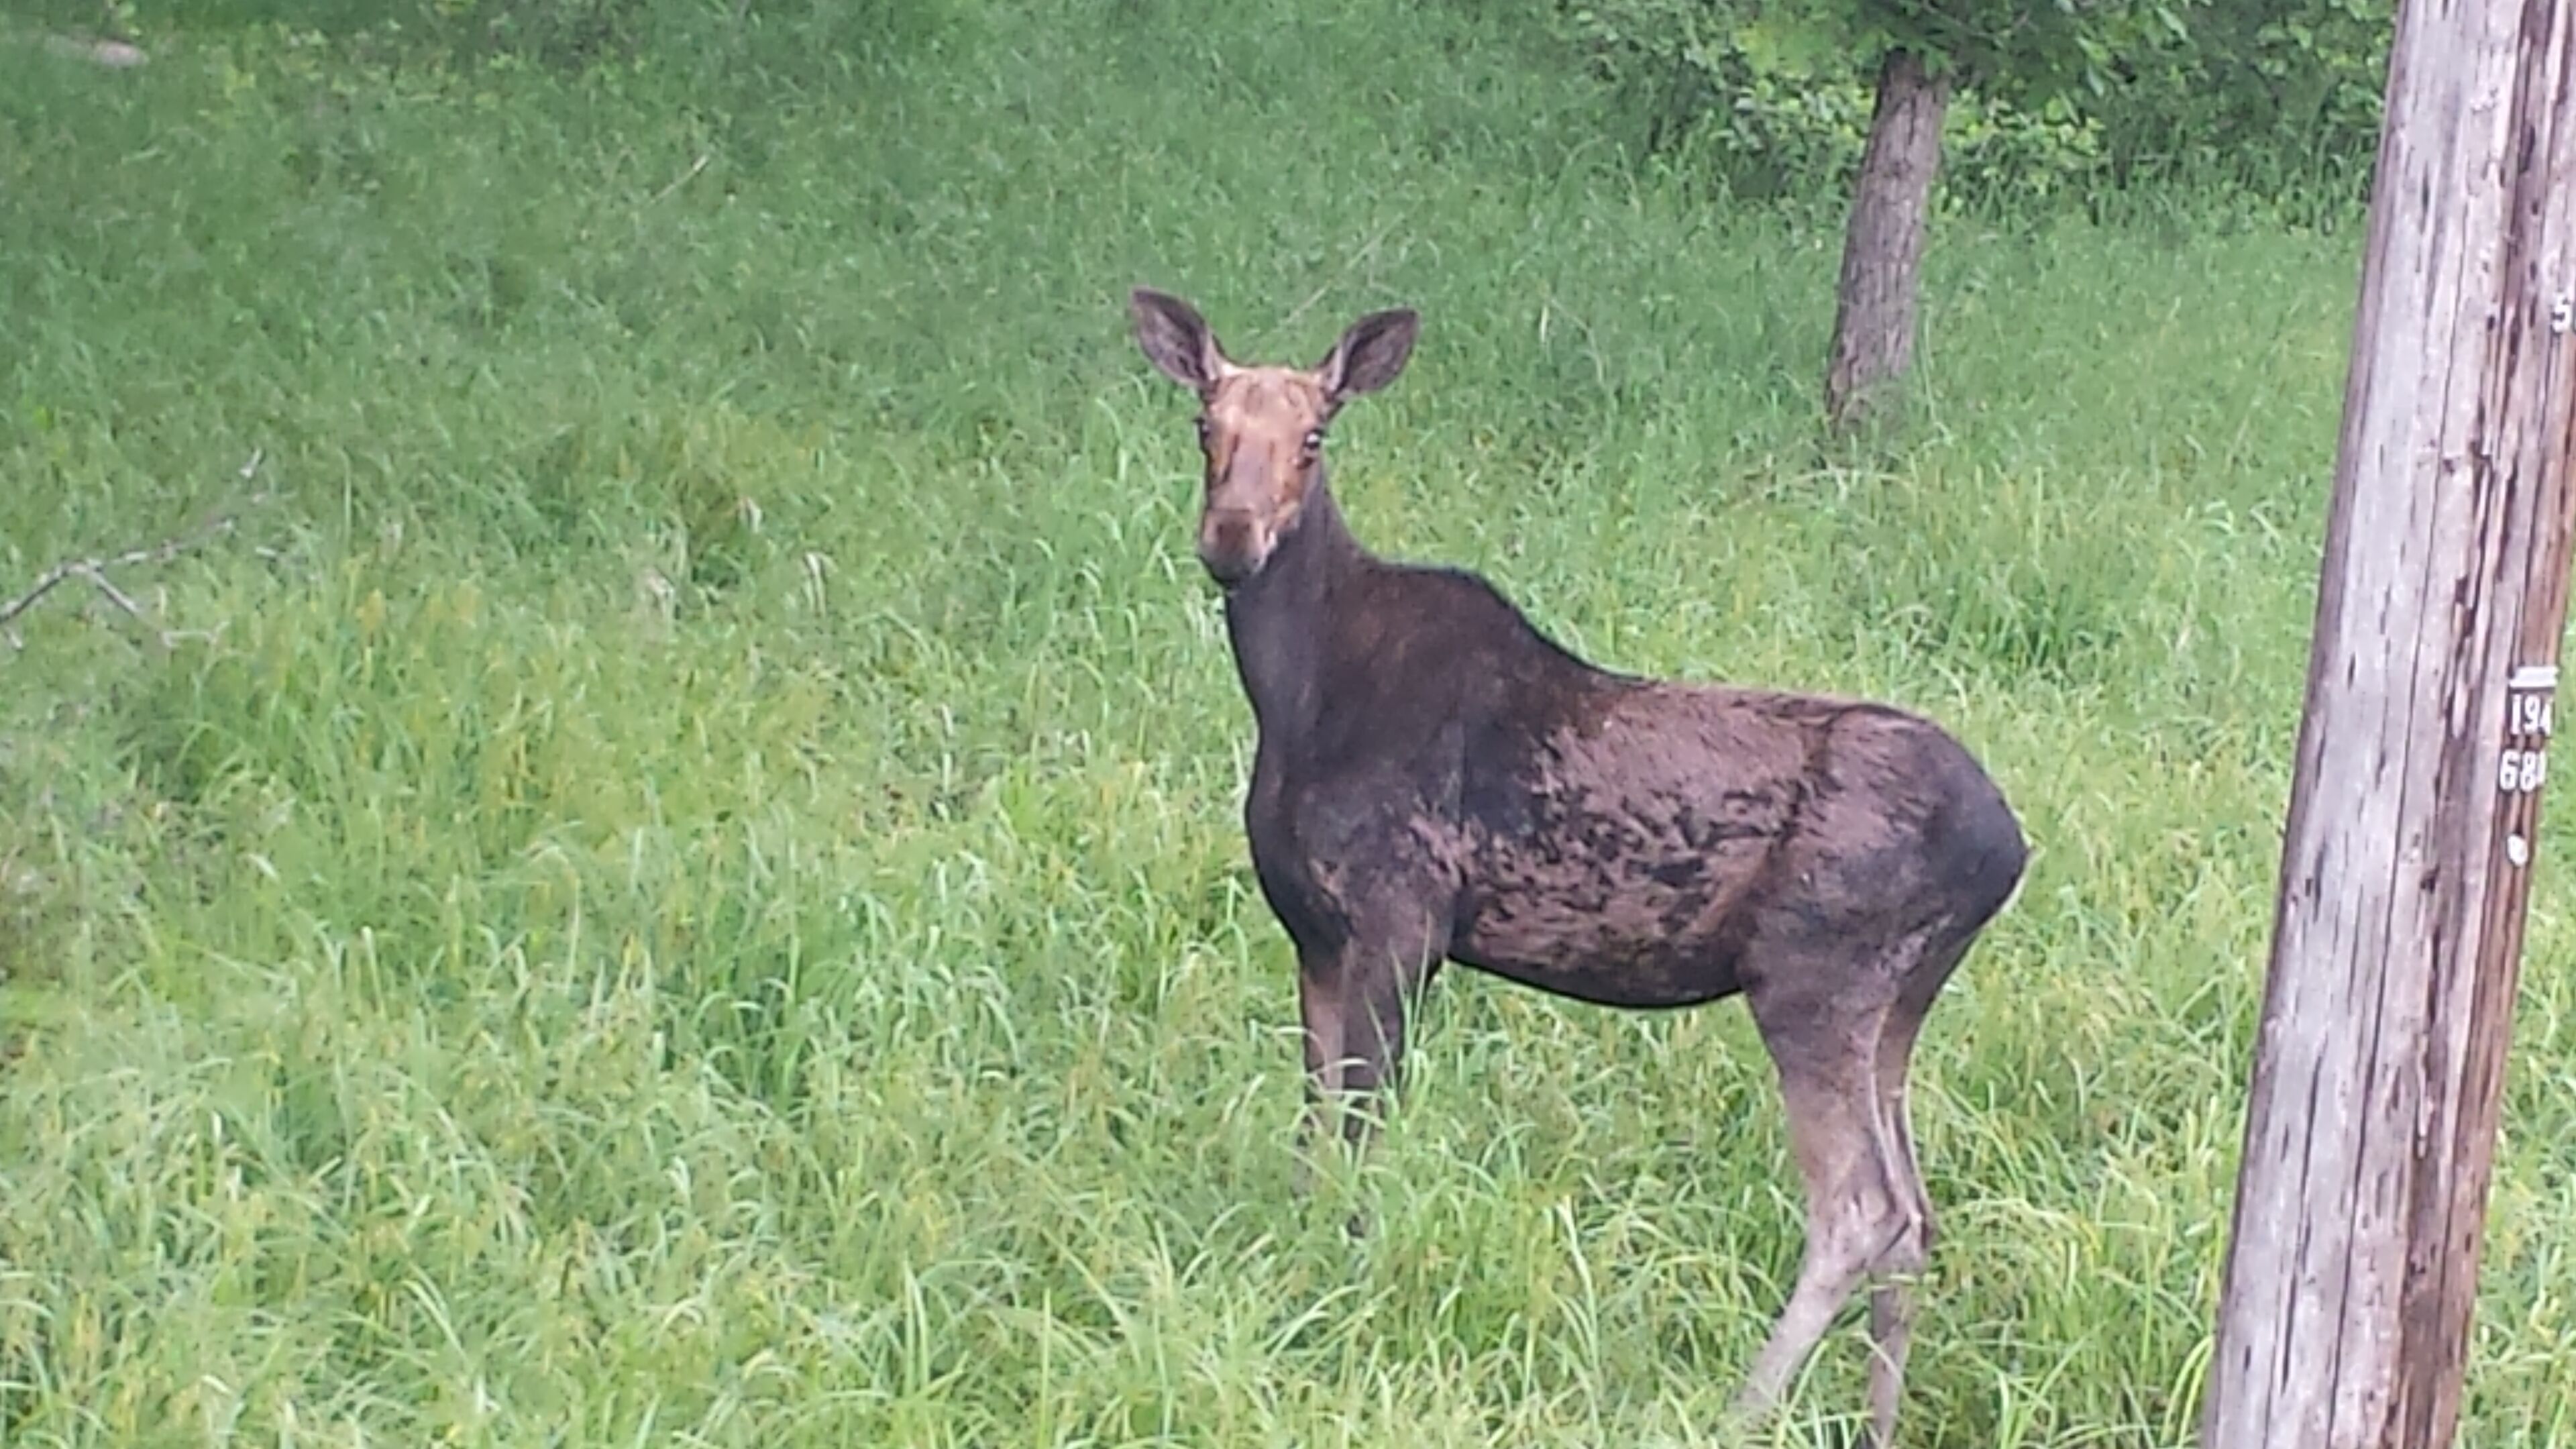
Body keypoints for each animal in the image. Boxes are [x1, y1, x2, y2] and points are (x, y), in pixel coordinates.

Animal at [1126, 286, 2028, 1447]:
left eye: (1316, 437)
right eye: (1206, 424)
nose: (1231, 539)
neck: (1294, 697)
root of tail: (2010, 848)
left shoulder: (1403, 921)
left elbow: (1365, 1133)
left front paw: (1347, 1280)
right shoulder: (1314, 936)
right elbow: (1312, 1130)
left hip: (1814, 976)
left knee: (1857, 1211)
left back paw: (1737, 1408)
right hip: (1899, 1008)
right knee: (1915, 1214)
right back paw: (1876, 1424)